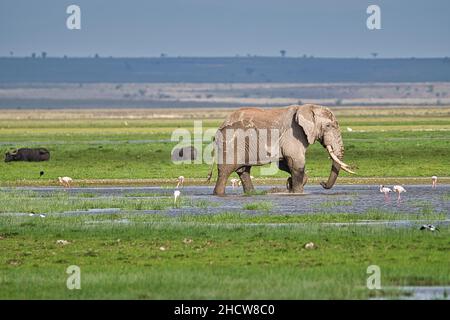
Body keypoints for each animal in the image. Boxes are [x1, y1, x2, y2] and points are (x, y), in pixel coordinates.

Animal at [208, 105, 356, 195]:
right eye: (328, 126)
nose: (322, 183)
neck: (307, 108)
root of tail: (218, 129)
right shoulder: (293, 133)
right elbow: (296, 162)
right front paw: (297, 192)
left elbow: (284, 163)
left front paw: (292, 185)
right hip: (231, 144)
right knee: (226, 171)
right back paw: (218, 194)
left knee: (243, 171)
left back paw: (252, 194)